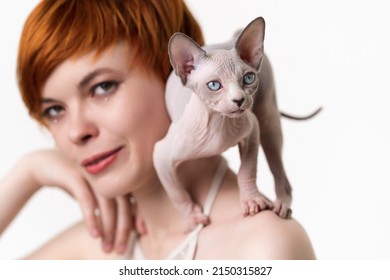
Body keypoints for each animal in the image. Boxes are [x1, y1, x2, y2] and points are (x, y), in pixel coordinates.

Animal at [152, 17, 320, 232]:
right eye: (214, 85)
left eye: (248, 78)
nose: (239, 100)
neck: (219, 123)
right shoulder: (161, 156)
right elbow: (177, 194)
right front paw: (193, 218)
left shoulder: (252, 129)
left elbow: (246, 170)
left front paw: (251, 200)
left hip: (268, 121)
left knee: (280, 171)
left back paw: (281, 204)